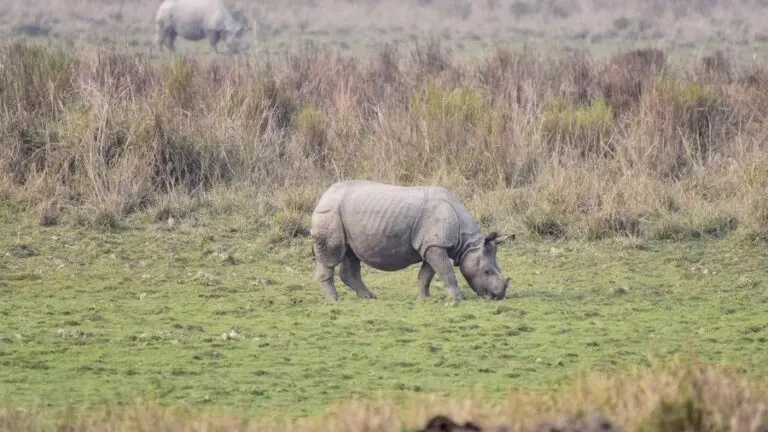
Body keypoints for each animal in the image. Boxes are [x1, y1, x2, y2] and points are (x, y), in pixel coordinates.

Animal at [310, 180, 512, 302]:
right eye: (486, 272)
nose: (498, 296)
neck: (468, 243)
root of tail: (324, 195)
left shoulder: (431, 245)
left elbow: (427, 274)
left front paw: (425, 299)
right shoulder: (435, 245)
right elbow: (446, 271)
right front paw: (458, 299)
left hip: (345, 218)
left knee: (351, 255)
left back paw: (369, 297)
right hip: (330, 213)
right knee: (331, 255)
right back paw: (335, 300)